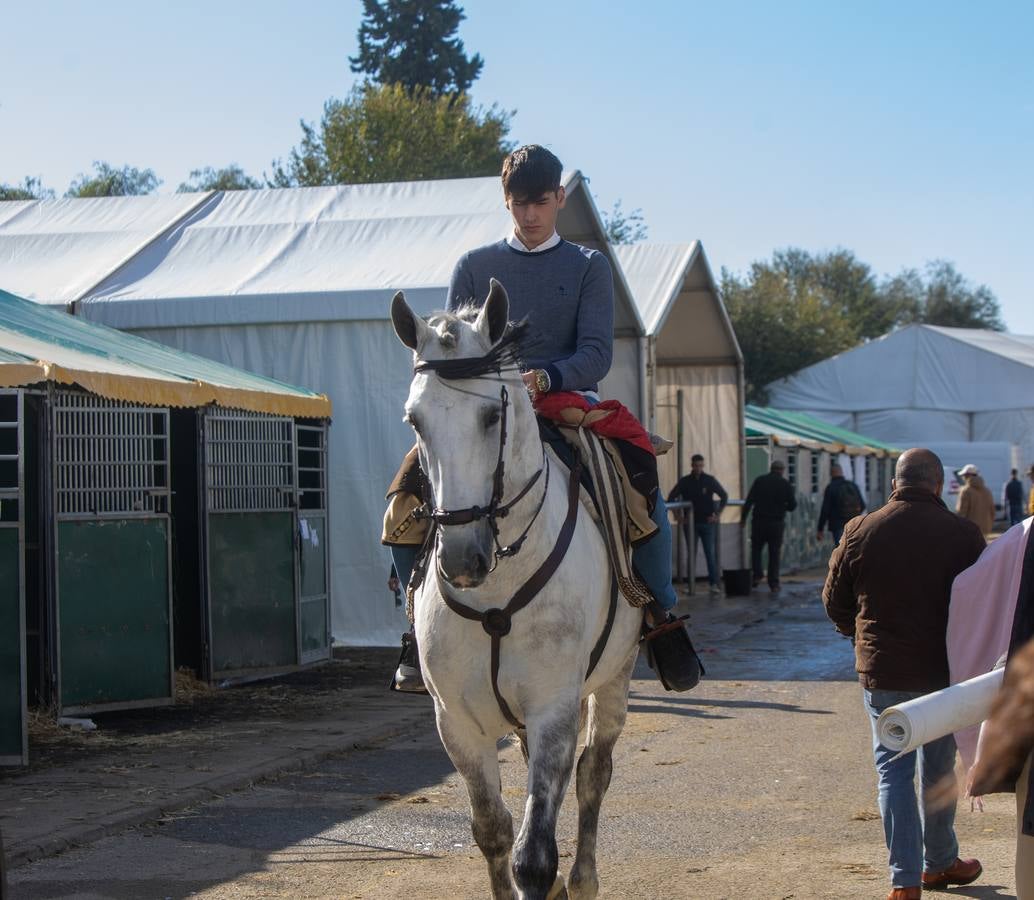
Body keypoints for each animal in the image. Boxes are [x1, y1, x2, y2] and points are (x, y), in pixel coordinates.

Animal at [388, 279, 641, 897]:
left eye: (489, 416)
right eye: (415, 421)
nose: (462, 558)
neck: (495, 592)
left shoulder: (553, 706)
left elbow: (534, 854)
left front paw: (554, 878)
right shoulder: (456, 721)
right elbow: (493, 832)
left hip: (614, 680)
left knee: (593, 774)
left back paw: (582, 880)